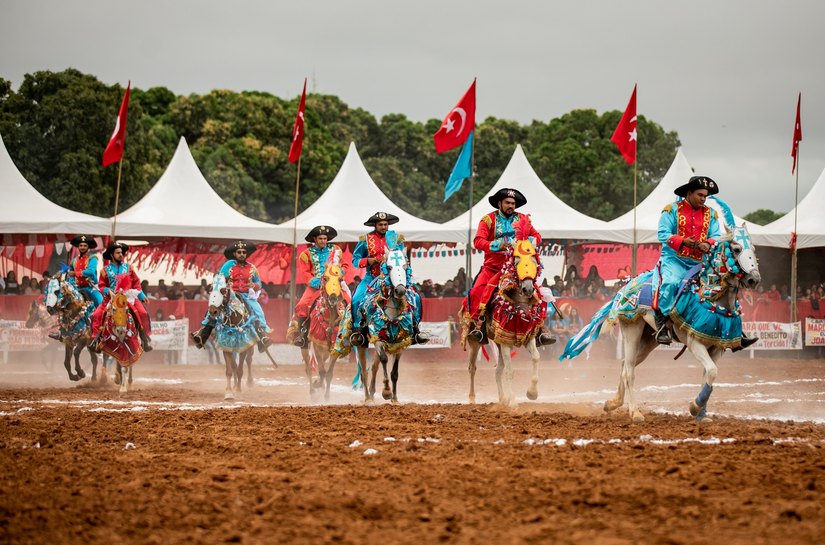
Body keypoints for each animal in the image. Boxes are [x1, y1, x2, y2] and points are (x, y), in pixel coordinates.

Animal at [460, 236, 552, 406]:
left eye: (534, 260)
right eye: (516, 260)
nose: (528, 289)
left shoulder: (527, 336)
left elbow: (536, 357)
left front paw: (532, 393)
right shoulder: (505, 341)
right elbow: (510, 371)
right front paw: (514, 402)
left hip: (497, 342)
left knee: (498, 370)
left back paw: (503, 398)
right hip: (475, 340)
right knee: (472, 368)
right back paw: (472, 398)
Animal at [560, 206, 760, 422]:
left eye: (753, 248)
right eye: (737, 249)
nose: (754, 279)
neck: (711, 297)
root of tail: (625, 287)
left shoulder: (717, 346)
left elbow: (708, 376)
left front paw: (701, 414)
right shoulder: (694, 343)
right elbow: (712, 372)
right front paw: (694, 407)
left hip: (649, 340)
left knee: (625, 365)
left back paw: (613, 403)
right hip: (632, 330)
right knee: (629, 371)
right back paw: (635, 412)